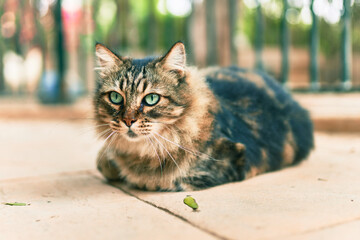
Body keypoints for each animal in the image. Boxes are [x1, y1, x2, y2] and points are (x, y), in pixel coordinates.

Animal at [94, 41, 314, 191]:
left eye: (151, 99)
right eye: (115, 97)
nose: (128, 121)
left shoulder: (228, 162)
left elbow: (163, 180)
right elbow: (103, 162)